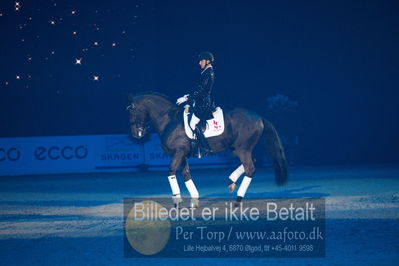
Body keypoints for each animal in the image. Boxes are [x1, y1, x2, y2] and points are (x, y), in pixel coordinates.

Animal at [127, 92, 288, 207]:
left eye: (132, 112)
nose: (136, 134)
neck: (169, 120)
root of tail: (259, 116)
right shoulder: (182, 154)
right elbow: (186, 174)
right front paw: (194, 200)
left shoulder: (178, 152)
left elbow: (171, 171)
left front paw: (177, 200)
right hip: (240, 148)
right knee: (251, 162)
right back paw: (231, 181)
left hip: (243, 149)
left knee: (250, 168)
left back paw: (237, 199)